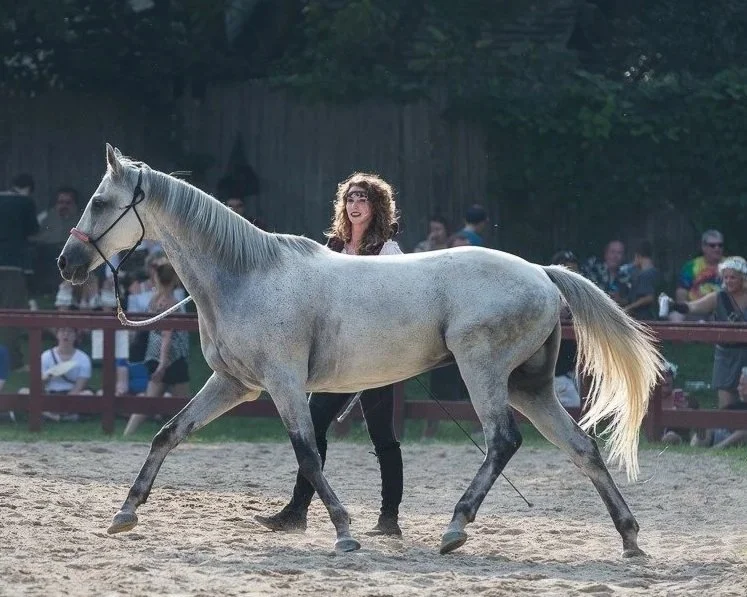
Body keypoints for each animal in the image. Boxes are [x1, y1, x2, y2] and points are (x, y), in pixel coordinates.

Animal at [58, 144, 663, 556]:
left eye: (99, 201)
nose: (67, 263)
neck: (247, 276)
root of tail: (541, 272)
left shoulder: (282, 385)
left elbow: (307, 452)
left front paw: (346, 532)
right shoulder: (235, 384)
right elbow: (168, 433)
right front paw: (125, 513)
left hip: (483, 372)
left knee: (503, 441)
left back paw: (455, 527)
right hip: (529, 386)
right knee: (582, 447)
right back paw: (630, 538)